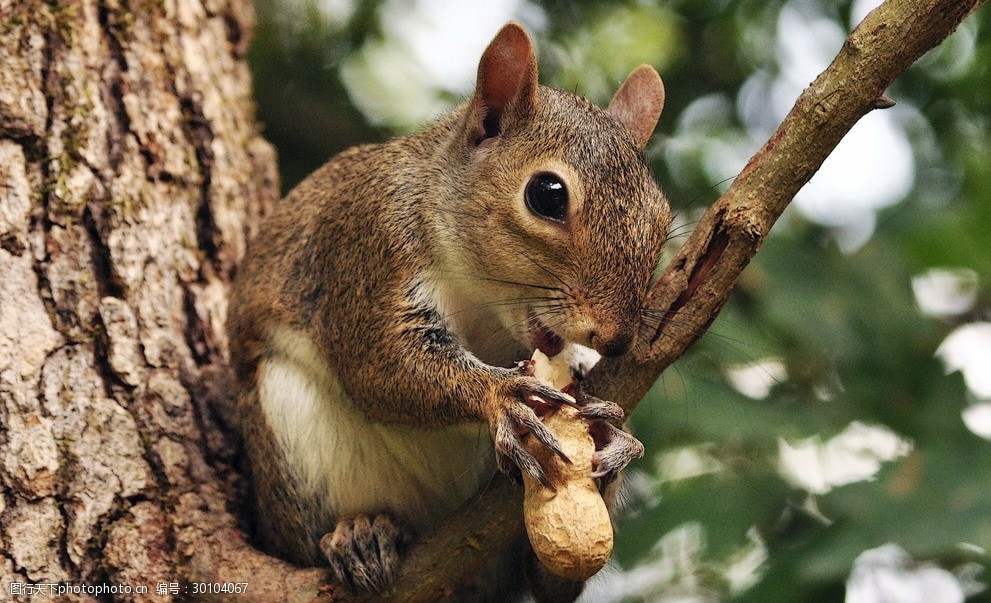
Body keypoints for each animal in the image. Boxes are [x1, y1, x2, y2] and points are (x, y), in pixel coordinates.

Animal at [229, 21, 672, 600]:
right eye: (547, 194)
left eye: (662, 216)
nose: (617, 339)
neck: (483, 303)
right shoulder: (367, 249)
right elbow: (381, 367)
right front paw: (502, 395)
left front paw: (609, 434)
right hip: (291, 438)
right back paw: (359, 536)